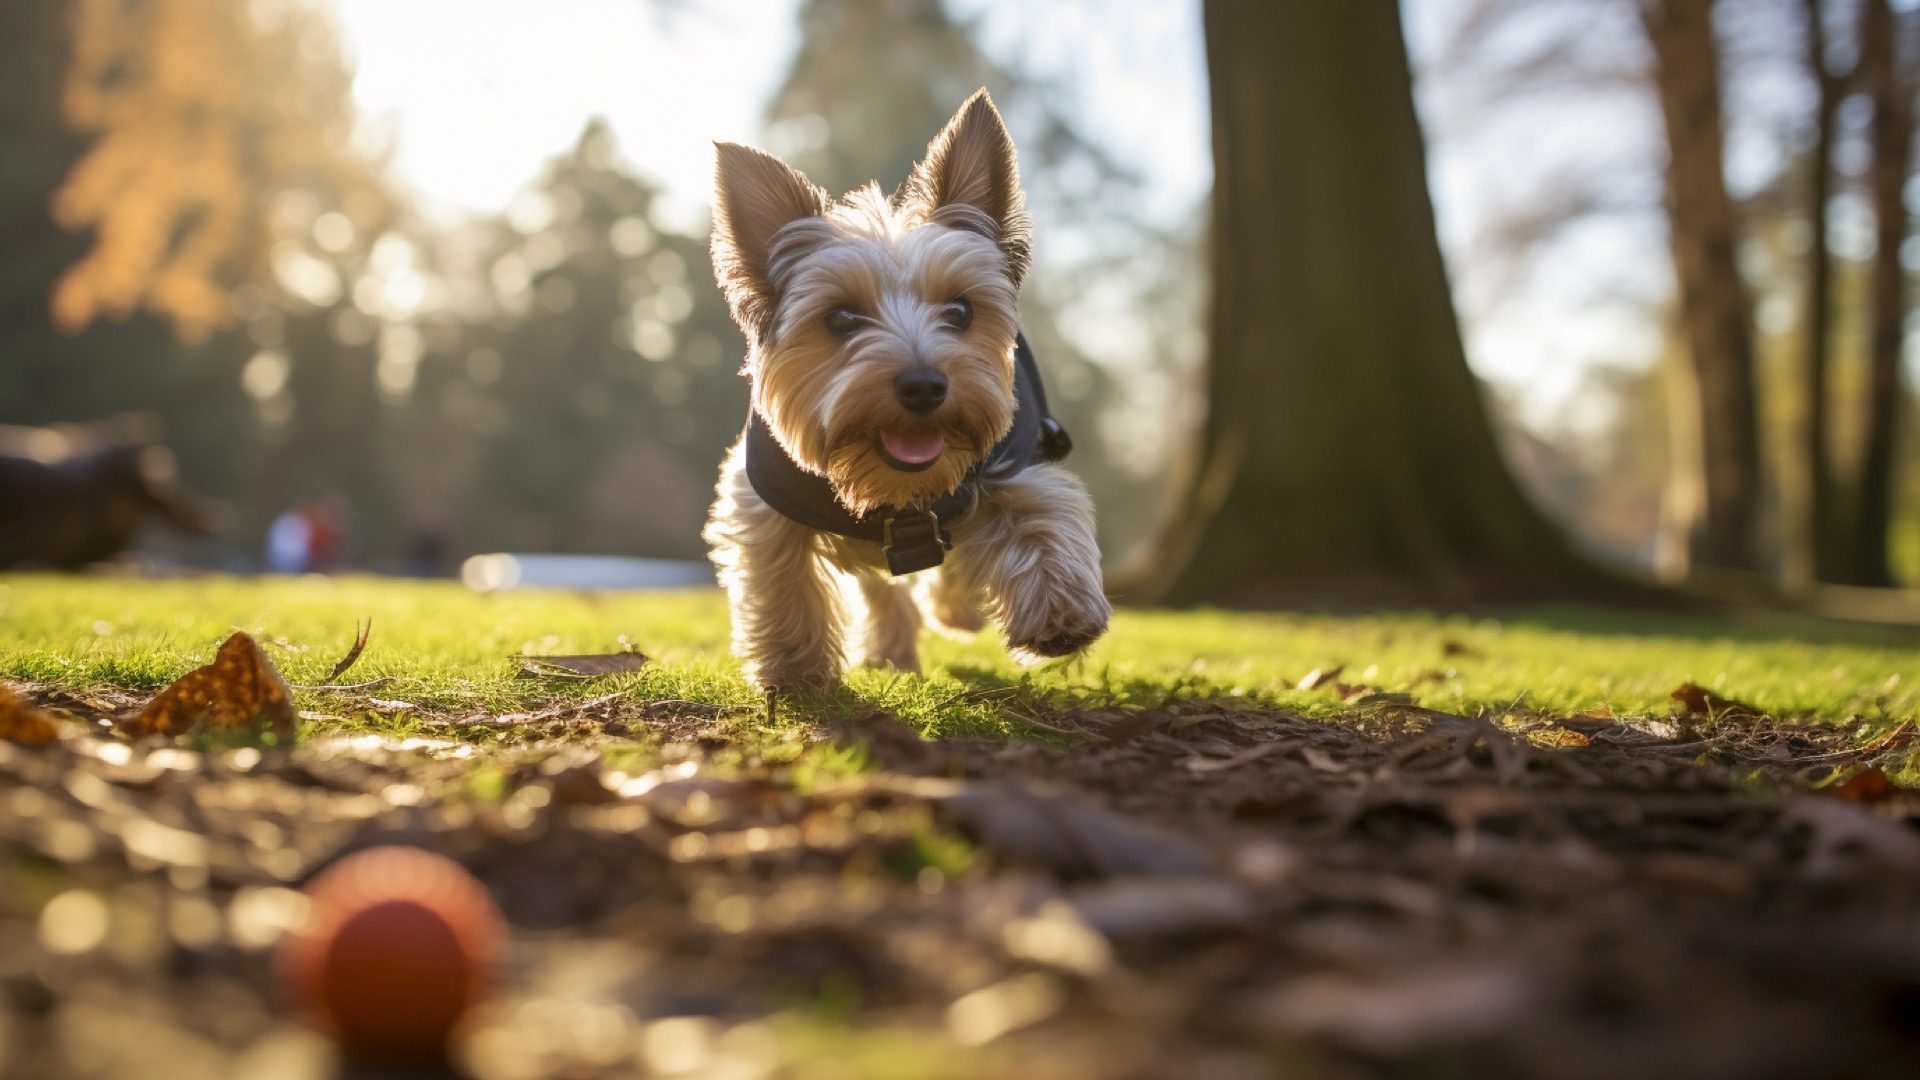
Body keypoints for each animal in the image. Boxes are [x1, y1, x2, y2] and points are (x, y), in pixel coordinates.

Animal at [706, 88, 1113, 684]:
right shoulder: (762, 498)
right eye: (841, 319)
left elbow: (1042, 517)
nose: (923, 385)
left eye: (961, 310)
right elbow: (785, 577)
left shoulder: (1016, 460)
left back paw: (955, 612)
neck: (896, 493)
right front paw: (795, 669)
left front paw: (1060, 616)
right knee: (881, 587)